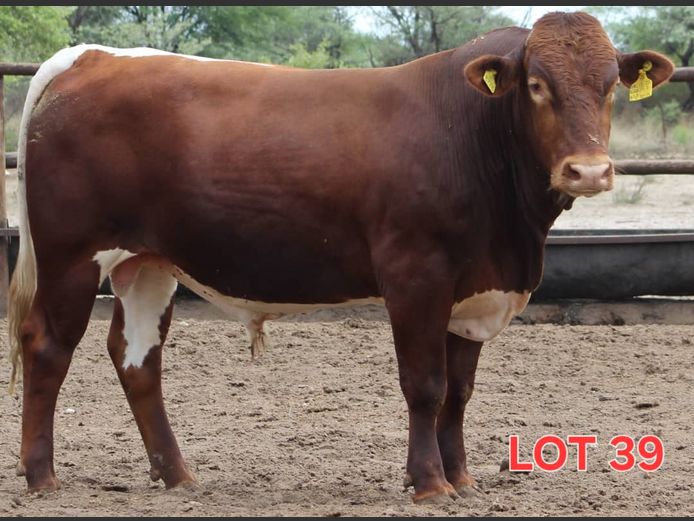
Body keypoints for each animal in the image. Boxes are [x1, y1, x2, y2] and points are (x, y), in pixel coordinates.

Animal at [7, 12, 673, 503]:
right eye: (536, 85)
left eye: (611, 85)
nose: (589, 171)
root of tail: (91, 56)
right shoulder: (416, 275)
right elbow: (426, 385)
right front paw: (428, 484)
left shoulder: (472, 290)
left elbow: (459, 391)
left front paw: (460, 478)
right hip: (72, 255)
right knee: (48, 347)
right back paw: (42, 477)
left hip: (145, 263)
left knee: (138, 358)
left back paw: (177, 475)